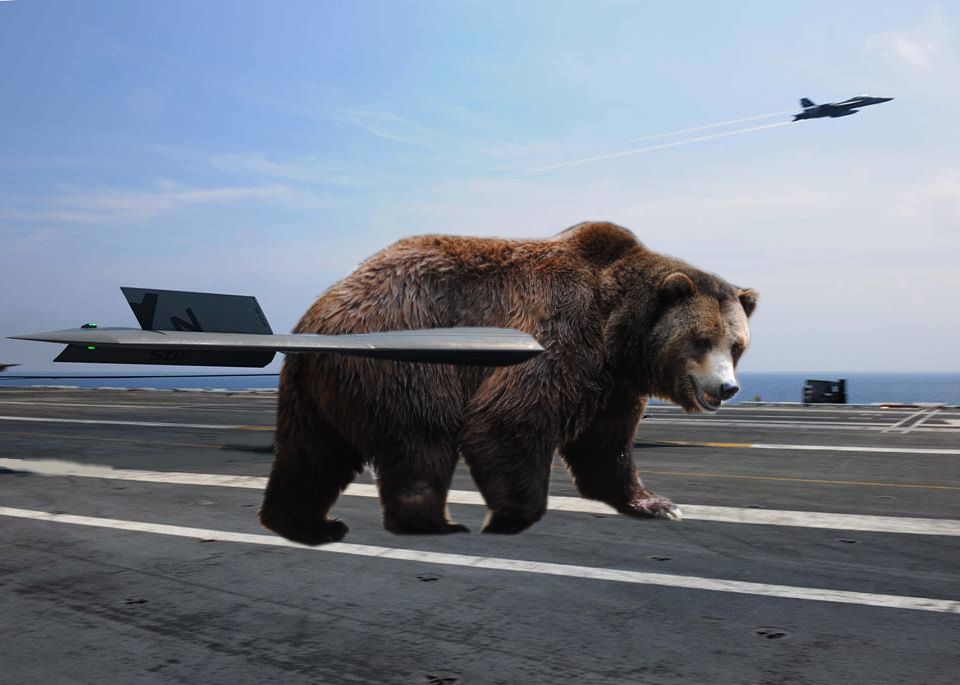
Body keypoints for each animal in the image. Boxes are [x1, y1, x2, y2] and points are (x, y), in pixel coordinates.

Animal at [260, 222, 756, 544]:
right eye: (701, 339)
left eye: (736, 345)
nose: (726, 388)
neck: (618, 332)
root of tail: (319, 314)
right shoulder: (561, 332)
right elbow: (507, 418)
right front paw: (511, 517)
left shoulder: (612, 385)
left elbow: (607, 447)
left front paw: (657, 504)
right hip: (406, 356)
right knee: (420, 440)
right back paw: (434, 523)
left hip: (313, 388)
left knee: (312, 454)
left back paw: (305, 523)